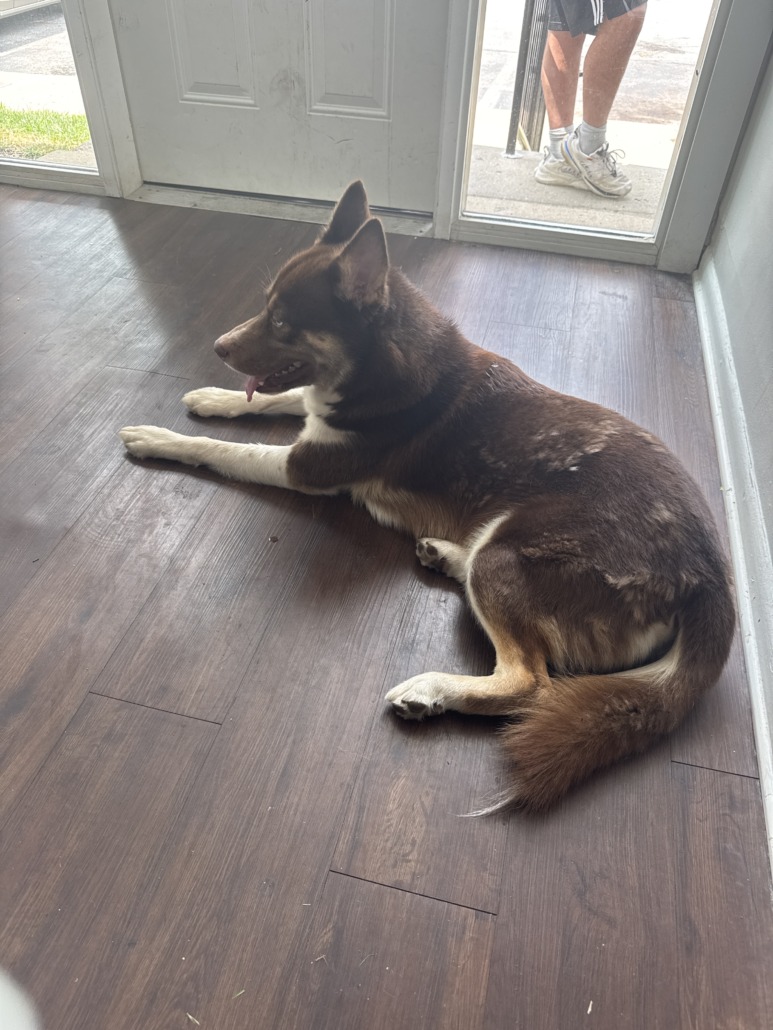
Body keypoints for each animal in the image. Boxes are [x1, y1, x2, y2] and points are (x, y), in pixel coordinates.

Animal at [120, 181, 735, 811]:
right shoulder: (314, 415)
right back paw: (444, 554)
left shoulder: (307, 464)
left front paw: (160, 438)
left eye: (284, 321)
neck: (380, 361)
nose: (218, 346)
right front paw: (213, 396)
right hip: (500, 547)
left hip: (508, 553)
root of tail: (711, 577)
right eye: (265, 307)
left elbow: (225, 450)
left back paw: (432, 687)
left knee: (528, 681)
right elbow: (272, 399)